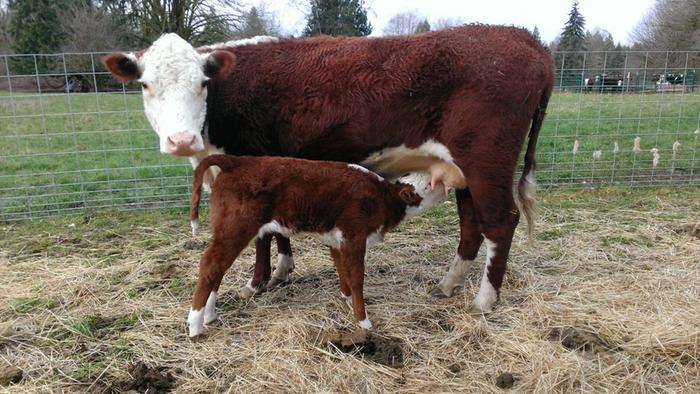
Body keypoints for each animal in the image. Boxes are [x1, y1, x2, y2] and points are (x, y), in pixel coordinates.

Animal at [101, 24, 556, 314]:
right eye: (146, 86)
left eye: (202, 84)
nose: (182, 140)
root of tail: (524, 38)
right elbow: (276, 229)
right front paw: (282, 271)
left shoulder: (252, 165)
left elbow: (262, 235)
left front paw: (257, 282)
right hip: (459, 170)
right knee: (471, 225)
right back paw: (447, 285)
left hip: (486, 163)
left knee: (500, 222)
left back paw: (484, 300)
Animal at [186, 154, 446, 336]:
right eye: (430, 184)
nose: (447, 180)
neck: (383, 198)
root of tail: (238, 160)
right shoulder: (354, 236)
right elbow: (357, 278)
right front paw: (363, 321)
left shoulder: (338, 240)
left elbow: (343, 271)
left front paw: (346, 299)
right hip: (237, 227)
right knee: (210, 264)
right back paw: (195, 326)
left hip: (225, 229)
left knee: (218, 267)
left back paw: (209, 316)